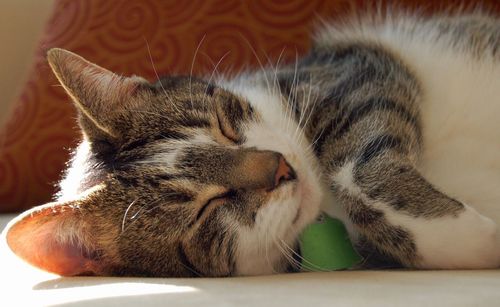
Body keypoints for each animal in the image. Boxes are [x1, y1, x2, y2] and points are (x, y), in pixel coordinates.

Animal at [4, 11, 500, 276]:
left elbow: (355, 168)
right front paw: (474, 239)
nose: (282, 168)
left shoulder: (360, 69)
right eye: (207, 209)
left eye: (225, 124)